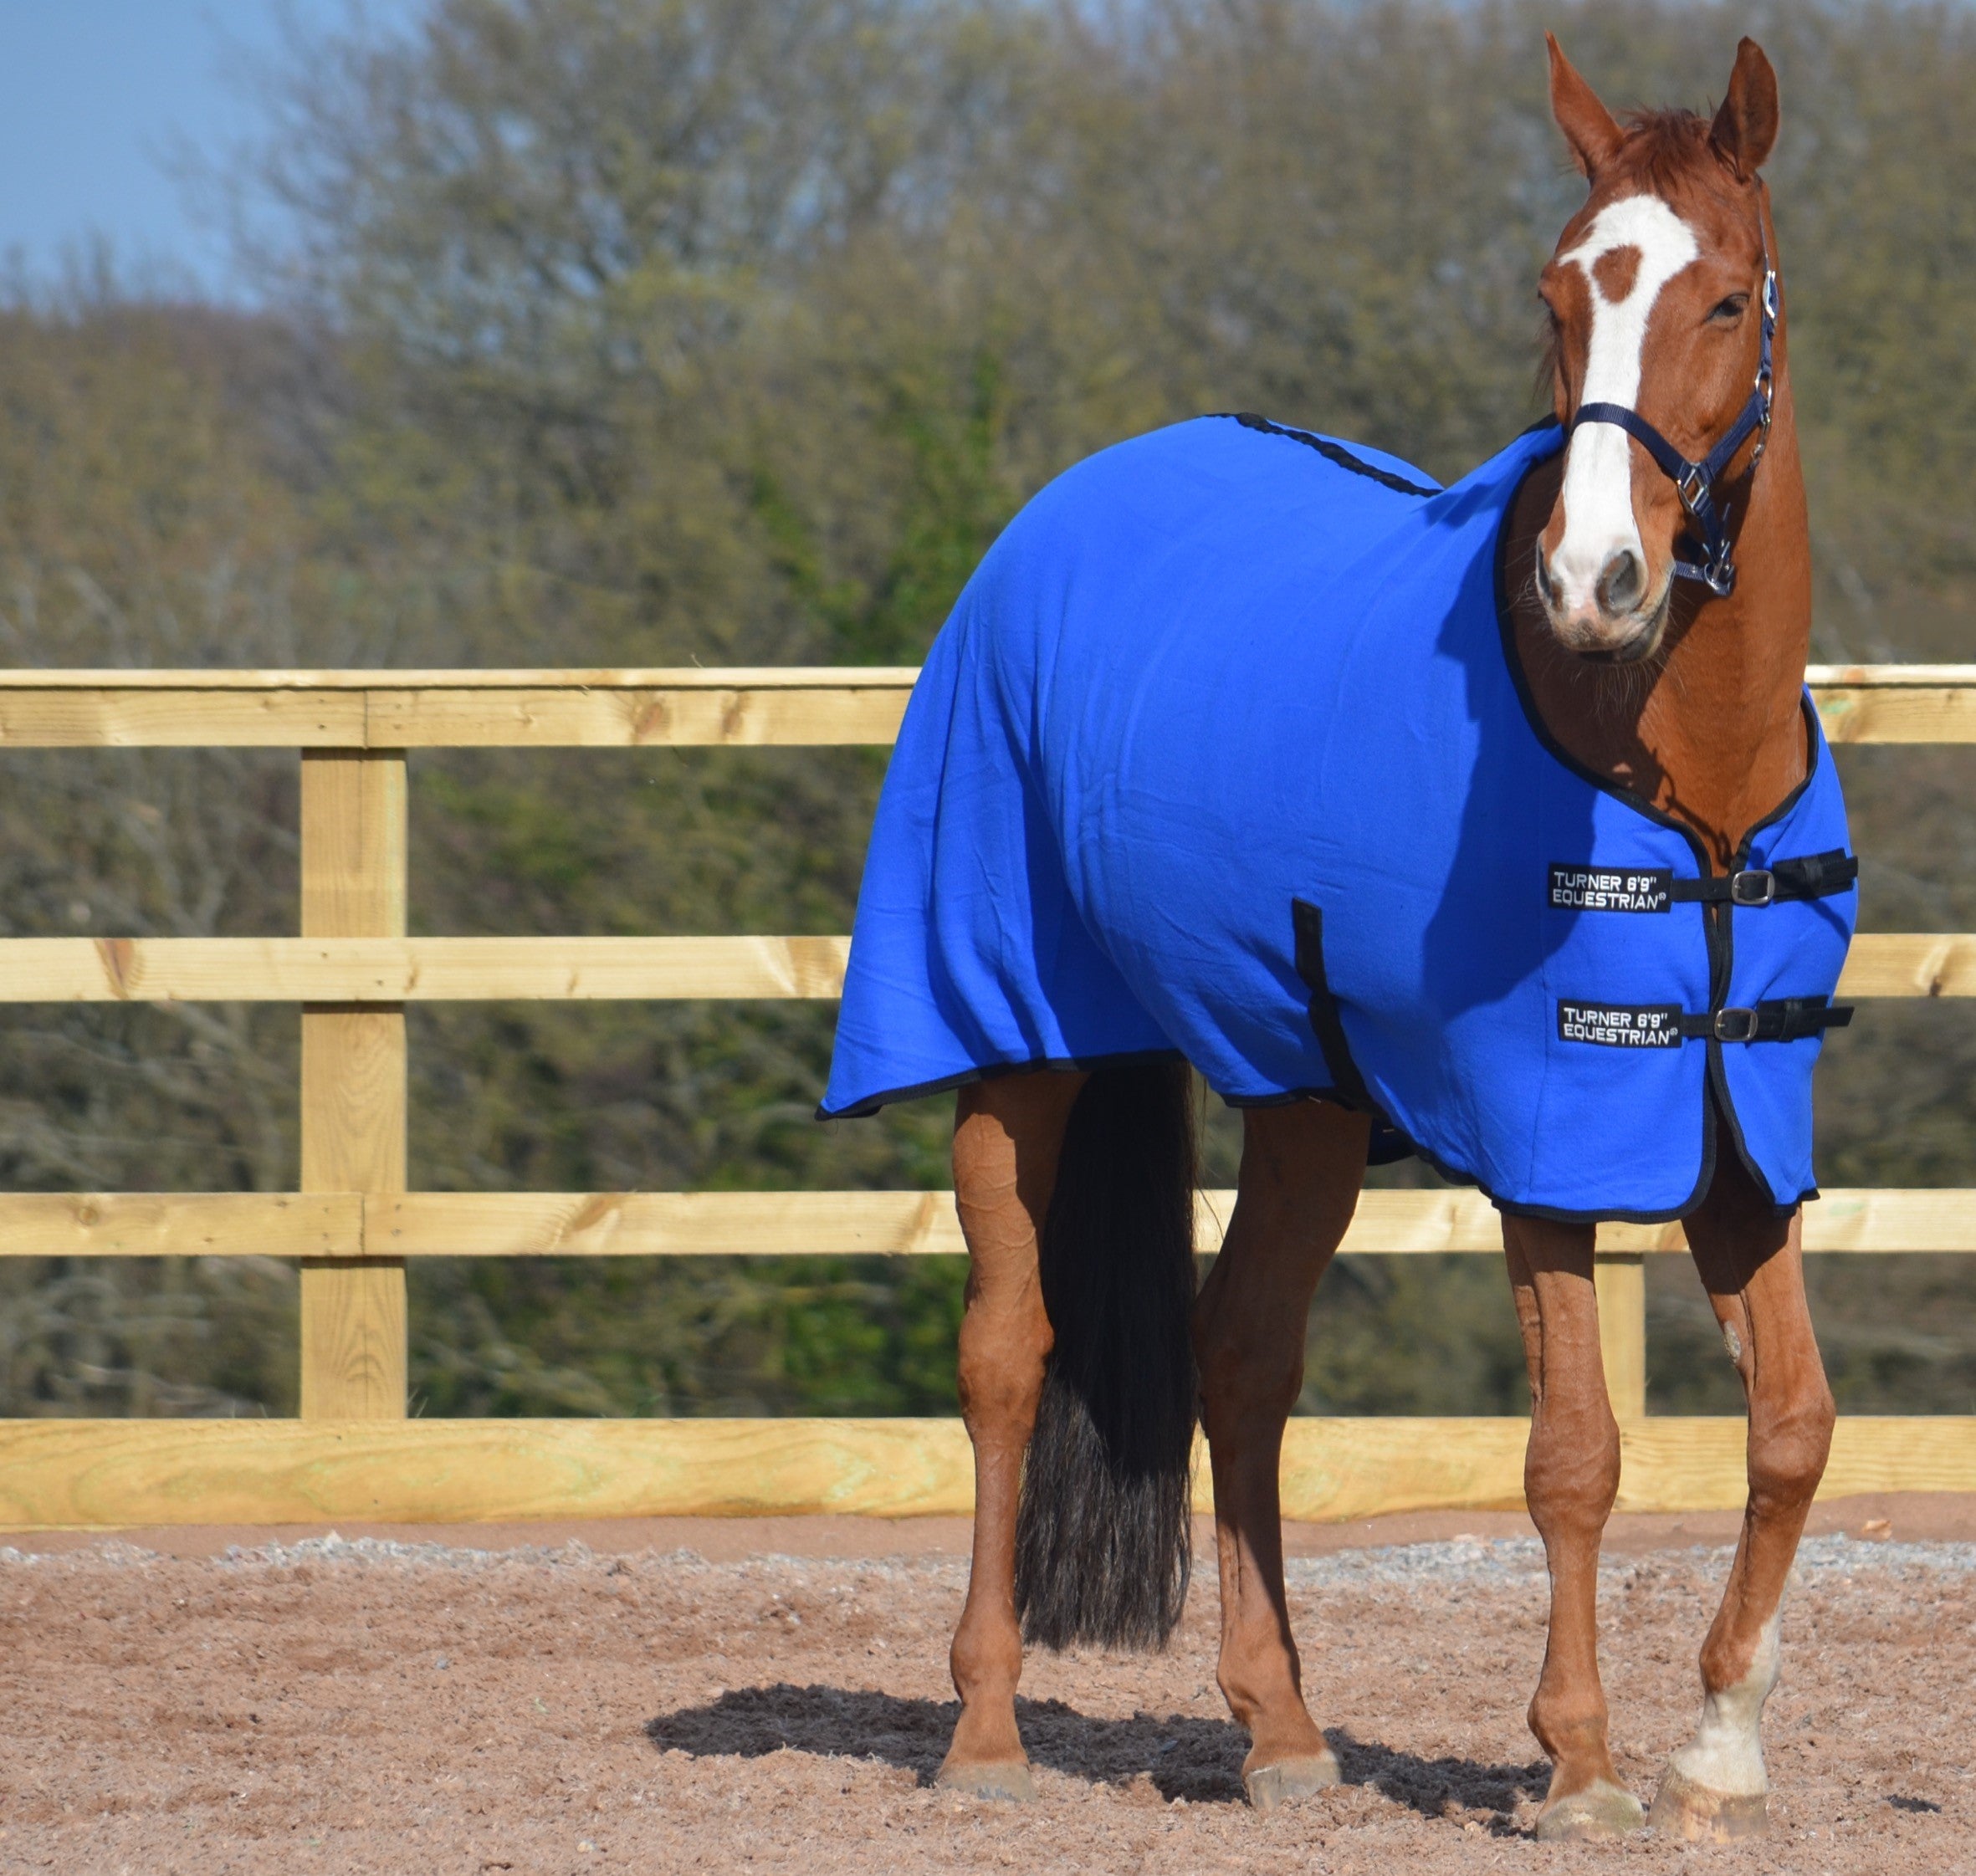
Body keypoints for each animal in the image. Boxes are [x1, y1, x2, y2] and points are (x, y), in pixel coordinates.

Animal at [820, 35, 1847, 1844]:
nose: (1594, 576)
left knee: (1238, 1352)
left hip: (1300, 1086)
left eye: (1724, 298)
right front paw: (1576, 1761)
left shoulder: (1734, 1130)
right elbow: (1572, 1450)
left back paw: (1280, 1731)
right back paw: (986, 1731)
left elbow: (1790, 1423)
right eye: (1557, 292)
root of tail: (1053, 516)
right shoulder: (1543, 1130)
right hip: (1010, 1040)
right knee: (1005, 1354)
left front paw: (1714, 1741)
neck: (1681, 777)